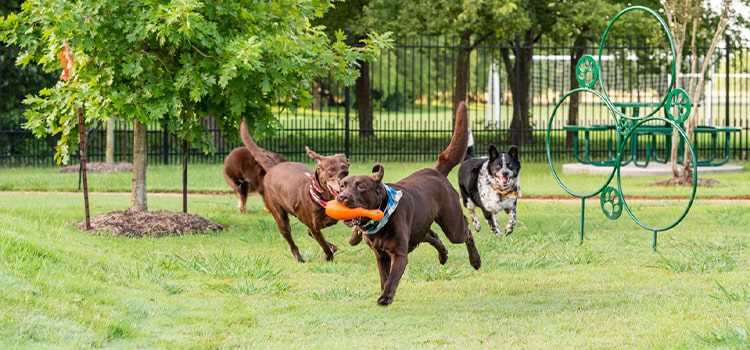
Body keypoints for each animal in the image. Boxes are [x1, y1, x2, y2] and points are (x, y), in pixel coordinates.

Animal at [239, 119, 352, 262]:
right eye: (331, 170)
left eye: (346, 170)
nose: (343, 184)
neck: (323, 198)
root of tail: (273, 168)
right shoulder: (314, 226)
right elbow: (322, 242)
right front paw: (328, 256)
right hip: (279, 216)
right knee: (291, 240)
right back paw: (299, 258)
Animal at [336, 101, 482, 304]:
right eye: (342, 186)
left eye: (361, 187)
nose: (343, 197)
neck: (382, 216)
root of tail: (435, 171)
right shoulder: (380, 256)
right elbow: (384, 277)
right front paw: (384, 293)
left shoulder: (399, 254)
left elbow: (392, 278)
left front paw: (385, 298)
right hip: (419, 228)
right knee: (432, 235)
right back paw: (443, 256)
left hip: (452, 226)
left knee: (466, 231)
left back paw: (475, 261)